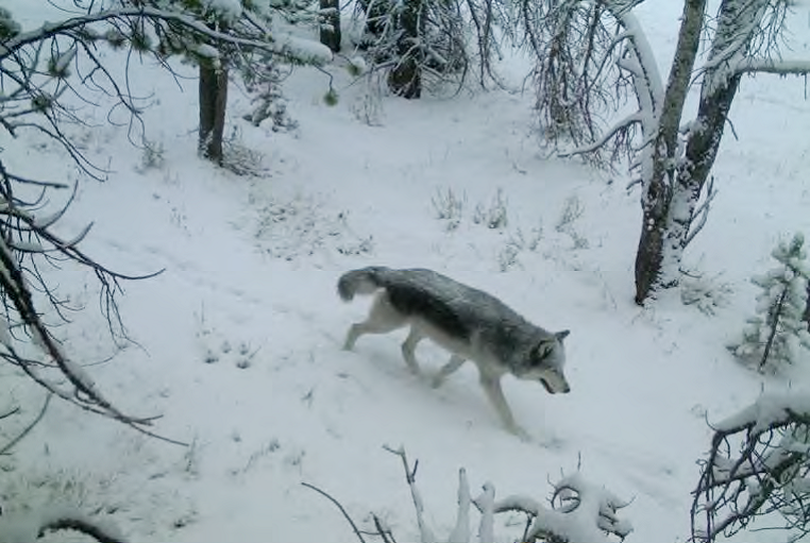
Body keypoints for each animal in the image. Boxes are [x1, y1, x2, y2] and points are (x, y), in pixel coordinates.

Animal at [334, 266, 568, 438]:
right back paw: (346, 352)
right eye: (554, 370)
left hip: (420, 330)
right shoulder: (489, 380)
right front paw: (518, 434)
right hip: (387, 325)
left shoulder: (462, 356)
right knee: (356, 328)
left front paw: (434, 386)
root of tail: (396, 272)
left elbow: (445, 371)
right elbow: (506, 412)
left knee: (405, 348)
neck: (511, 341)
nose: (568, 390)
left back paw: (418, 376)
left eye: (563, 369)